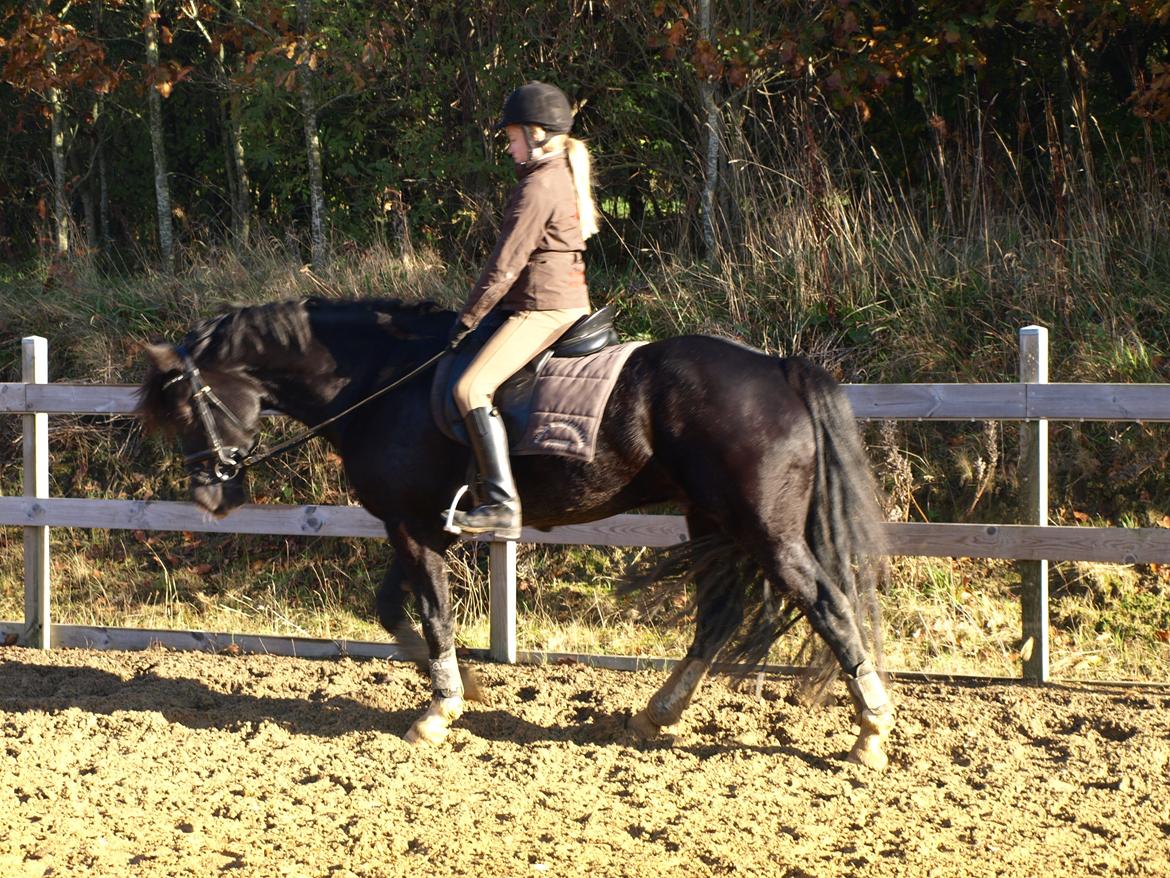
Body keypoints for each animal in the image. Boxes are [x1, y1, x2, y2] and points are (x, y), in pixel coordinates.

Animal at [134, 297, 893, 767]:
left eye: (187, 408)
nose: (210, 495)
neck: (379, 381)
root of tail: (778, 367)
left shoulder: (412, 527)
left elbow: (432, 614)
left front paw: (439, 709)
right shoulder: (417, 524)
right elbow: (392, 610)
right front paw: (466, 686)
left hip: (763, 529)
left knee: (827, 605)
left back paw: (870, 733)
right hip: (711, 519)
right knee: (718, 616)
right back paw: (657, 715)